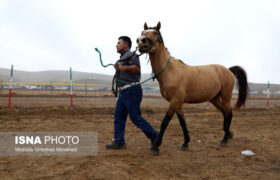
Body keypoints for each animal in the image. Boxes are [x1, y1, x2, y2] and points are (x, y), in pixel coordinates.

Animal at [137, 21, 248, 155]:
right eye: (142, 32)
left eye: (154, 32)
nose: (140, 41)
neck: (170, 71)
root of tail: (228, 70)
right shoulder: (178, 103)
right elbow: (182, 122)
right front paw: (185, 143)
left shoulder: (175, 101)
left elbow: (165, 122)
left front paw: (155, 146)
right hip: (214, 99)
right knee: (225, 113)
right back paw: (228, 133)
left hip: (226, 96)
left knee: (228, 114)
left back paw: (224, 139)